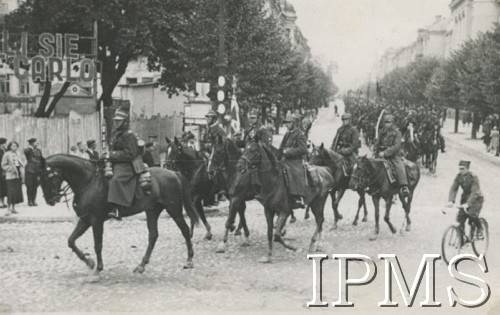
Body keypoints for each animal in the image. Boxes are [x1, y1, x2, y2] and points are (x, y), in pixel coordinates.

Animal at [38, 154, 198, 280]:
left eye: (48, 176)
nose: (50, 200)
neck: (88, 181)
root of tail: (174, 173)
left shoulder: (96, 221)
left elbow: (98, 245)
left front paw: (98, 269)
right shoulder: (85, 219)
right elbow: (71, 241)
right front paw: (89, 262)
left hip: (174, 209)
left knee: (184, 230)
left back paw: (189, 260)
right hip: (152, 211)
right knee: (153, 235)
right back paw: (141, 265)